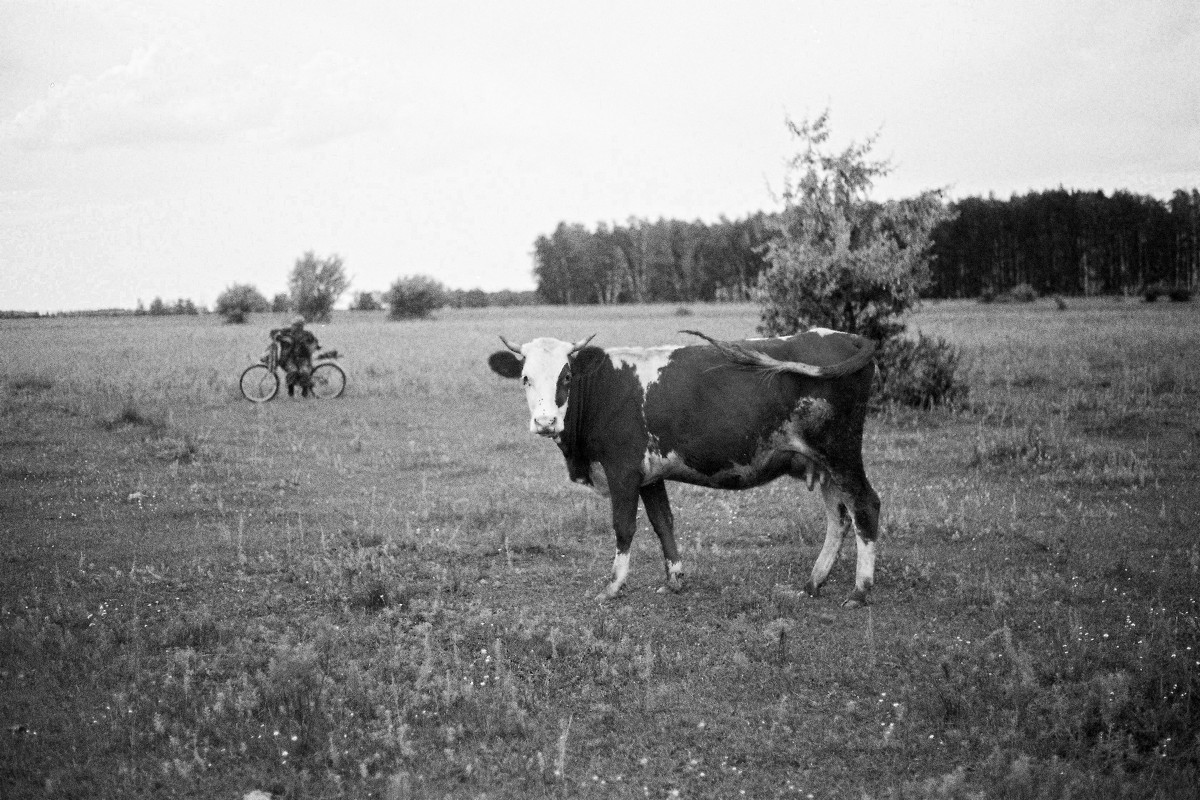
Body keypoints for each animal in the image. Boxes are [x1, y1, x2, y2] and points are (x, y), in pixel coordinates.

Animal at [487, 326, 883, 606]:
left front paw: (613, 587)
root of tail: (846, 336)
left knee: (865, 506)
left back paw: (860, 591)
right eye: (525, 378)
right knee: (839, 517)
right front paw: (674, 580)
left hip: (841, 453)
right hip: (823, 463)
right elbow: (663, 523)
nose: (545, 422)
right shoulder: (648, 476)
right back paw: (814, 582)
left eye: (566, 377)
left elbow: (624, 527)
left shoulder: (622, 471)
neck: (602, 388)